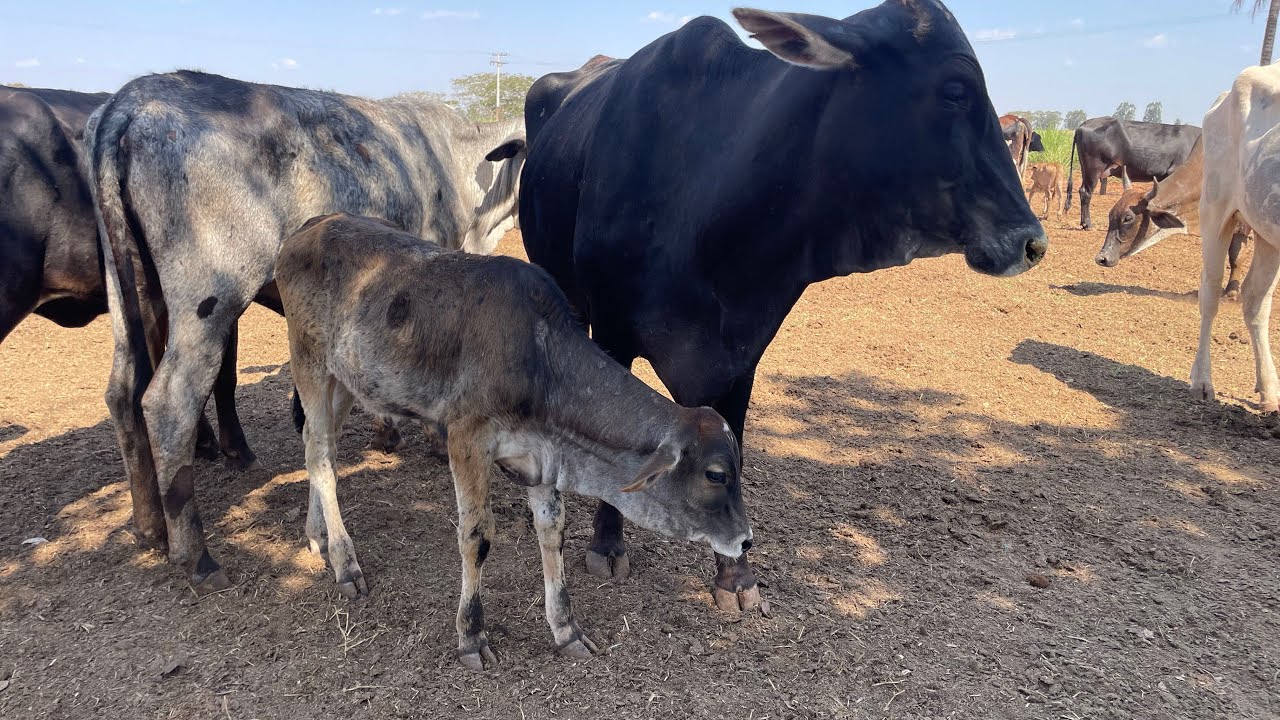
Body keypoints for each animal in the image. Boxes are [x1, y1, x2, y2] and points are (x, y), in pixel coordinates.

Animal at [86, 71, 527, 591]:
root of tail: (130, 99)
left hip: (128, 292)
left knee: (123, 392)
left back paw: (149, 526)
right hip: (208, 299)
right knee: (168, 403)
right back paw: (196, 555)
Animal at [278, 213, 752, 669]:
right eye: (716, 474)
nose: (746, 540)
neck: (541, 361)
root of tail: (310, 227)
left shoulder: (541, 459)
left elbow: (552, 531)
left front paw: (566, 630)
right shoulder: (467, 439)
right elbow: (476, 536)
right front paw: (471, 636)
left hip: (344, 381)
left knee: (320, 445)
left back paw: (318, 536)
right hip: (309, 361)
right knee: (320, 456)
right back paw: (344, 561)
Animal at [519, 1, 1047, 615]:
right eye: (956, 90)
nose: (1032, 242)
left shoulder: (743, 352)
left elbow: (734, 450)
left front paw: (735, 574)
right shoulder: (612, 331)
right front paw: (607, 543)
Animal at [1094, 134, 1251, 299]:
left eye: (1128, 218)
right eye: (1111, 214)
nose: (1102, 258)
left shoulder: (1241, 224)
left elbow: (1236, 257)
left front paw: (1231, 292)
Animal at [1191, 65, 1280, 414]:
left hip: (1266, 229)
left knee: (1255, 298)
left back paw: (1269, 389)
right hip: (1216, 209)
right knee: (1210, 292)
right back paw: (1202, 381)